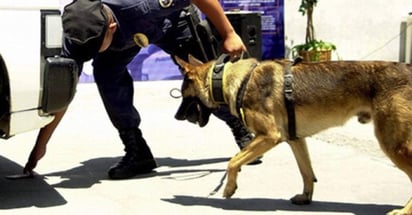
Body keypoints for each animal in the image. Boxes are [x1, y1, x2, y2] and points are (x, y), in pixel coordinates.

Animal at [174, 55, 412, 215]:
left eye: (183, 96)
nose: (176, 117)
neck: (235, 79)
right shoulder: (295, 140)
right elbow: (306, 172)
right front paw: (306, 197)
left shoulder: (269, 136)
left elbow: (233, 161)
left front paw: (229, 187)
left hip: (394, 144)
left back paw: (403, 211)